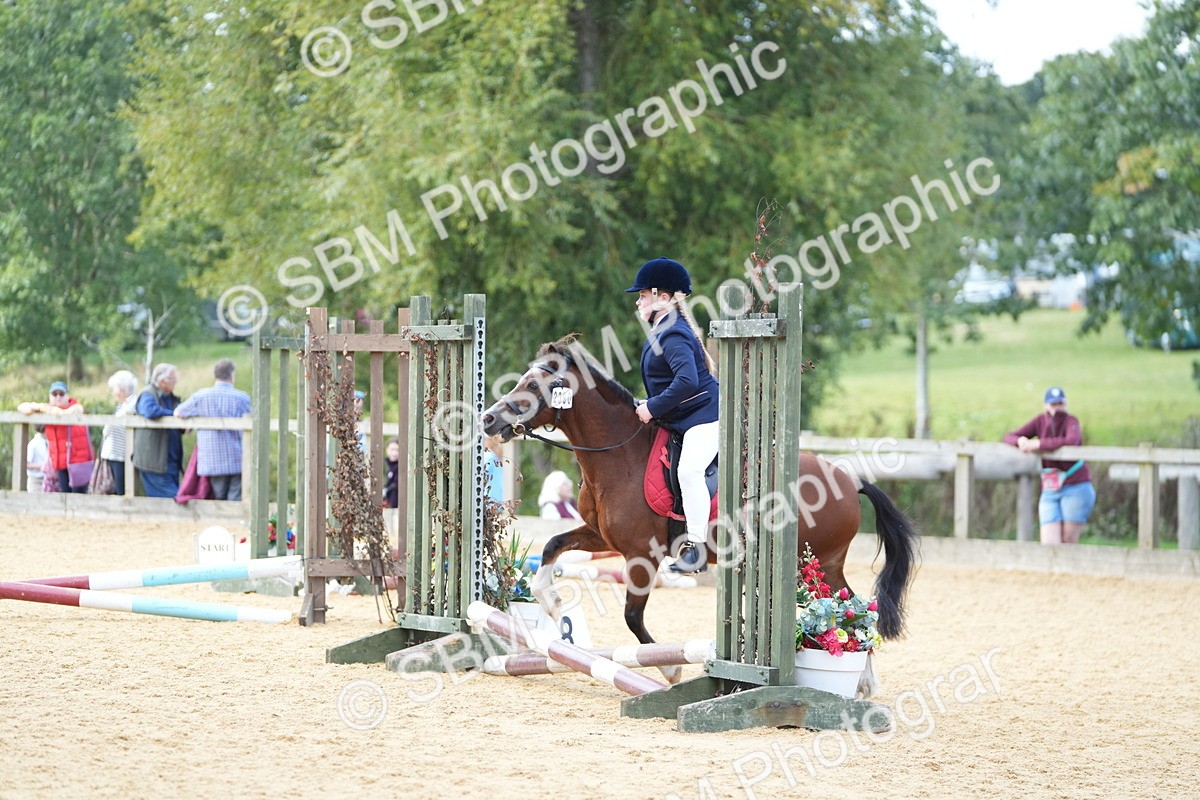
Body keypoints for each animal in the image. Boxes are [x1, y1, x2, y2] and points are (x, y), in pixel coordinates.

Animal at [481, 336, 918, 694]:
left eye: (532, 386)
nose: (489, 419)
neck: (619, 454)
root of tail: (846, 478)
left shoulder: (642, 553)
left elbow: (631, 616)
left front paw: (670, 672)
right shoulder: (600, 536)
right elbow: (553, 547)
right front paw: (552, 603)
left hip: (813, 562)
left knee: (850, 604)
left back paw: (860, 678)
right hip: (818, 563)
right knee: (848, 601)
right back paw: (860, 678)